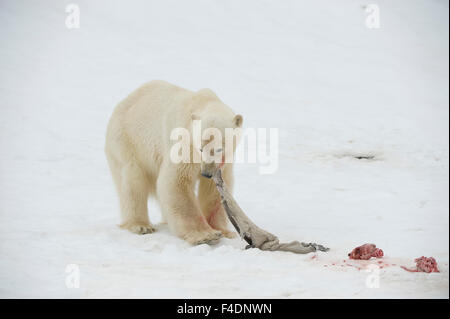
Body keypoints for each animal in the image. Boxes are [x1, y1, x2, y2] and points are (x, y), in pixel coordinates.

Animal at [105, 80, 243, 245]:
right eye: (200, 148)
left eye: (218, 149)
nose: (206, 173)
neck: (203, 101)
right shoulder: (184, 144)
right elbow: (176, 181)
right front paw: (204, 235)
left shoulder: (225, 162)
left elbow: (214, 190)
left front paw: (224, 231)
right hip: (127, 141)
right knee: (133, 180)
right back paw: (141, 225)